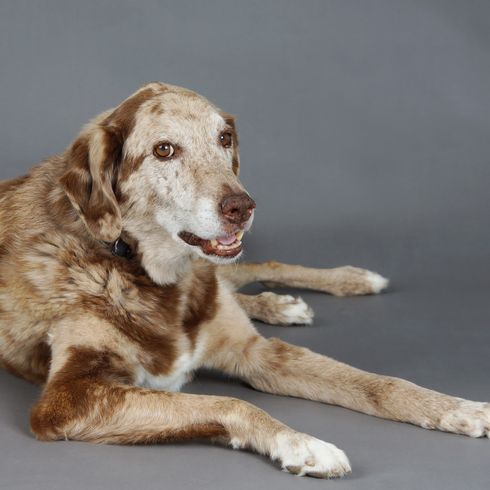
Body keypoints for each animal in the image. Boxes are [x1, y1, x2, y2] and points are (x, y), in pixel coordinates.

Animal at [0, 83, 488, 478]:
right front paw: (302, 443)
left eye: (224, 138)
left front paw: (456, 408)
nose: (242, 206)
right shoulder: (67, 399)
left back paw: (341, 283)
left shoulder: (258, 352)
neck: (159, 278)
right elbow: (230, 402)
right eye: (164, 150)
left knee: (253, 269)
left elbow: (380, 384)